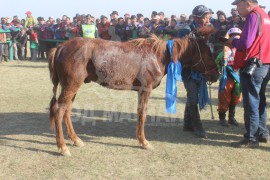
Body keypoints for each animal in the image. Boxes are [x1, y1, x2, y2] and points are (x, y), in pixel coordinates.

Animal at [48, 26, 217, 155]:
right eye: (209, 54)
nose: (216, 75)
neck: (158, 55)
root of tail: (61, 47)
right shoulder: (145, 89)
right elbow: (142, 114)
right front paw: (144, 142)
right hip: (71, 86)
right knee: (59, 111)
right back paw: (62, 147)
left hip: (72, 87)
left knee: (67, 111)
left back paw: (75, 139)